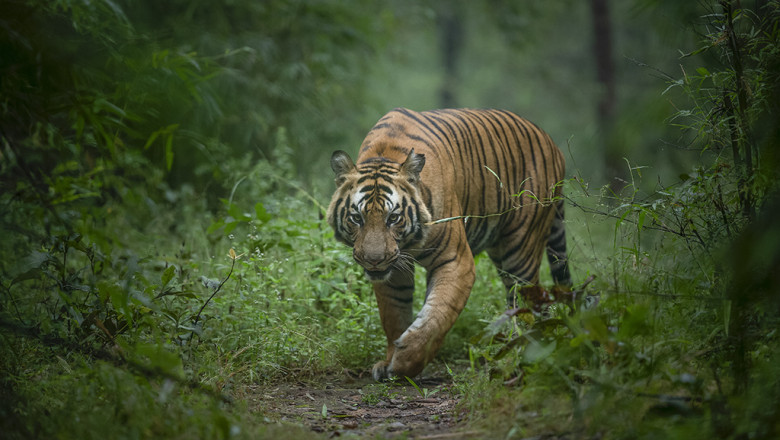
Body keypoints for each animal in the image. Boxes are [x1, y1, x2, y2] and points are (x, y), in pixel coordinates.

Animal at [327, 108, 571, 380]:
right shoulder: (393, 270)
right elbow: (394, 315)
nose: (374, 260)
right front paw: (389, 361)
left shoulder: (455, 260)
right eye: (357, 218)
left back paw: (522, 350)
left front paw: (405, 363)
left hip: (520, 251)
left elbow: (437, 316)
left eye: (393, 218)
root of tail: (552, 142)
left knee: (527, 301)